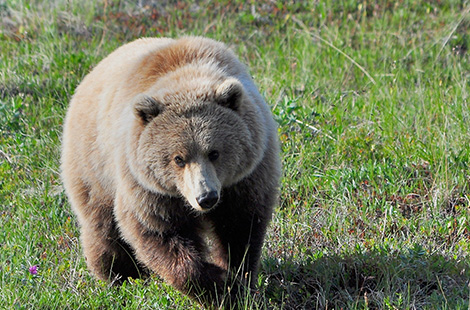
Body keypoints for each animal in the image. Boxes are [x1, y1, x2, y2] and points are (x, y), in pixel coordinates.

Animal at [59, 36, 280, 308]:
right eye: (178, 158)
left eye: (214, 152)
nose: (206, 197)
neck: (186, 72)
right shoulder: (148, 186)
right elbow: (156, 231)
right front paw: (217, 285)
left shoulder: (247, 176)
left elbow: (239, 227)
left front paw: (237, 282)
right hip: (93, 163)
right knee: (101, 223)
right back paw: (118, 274)